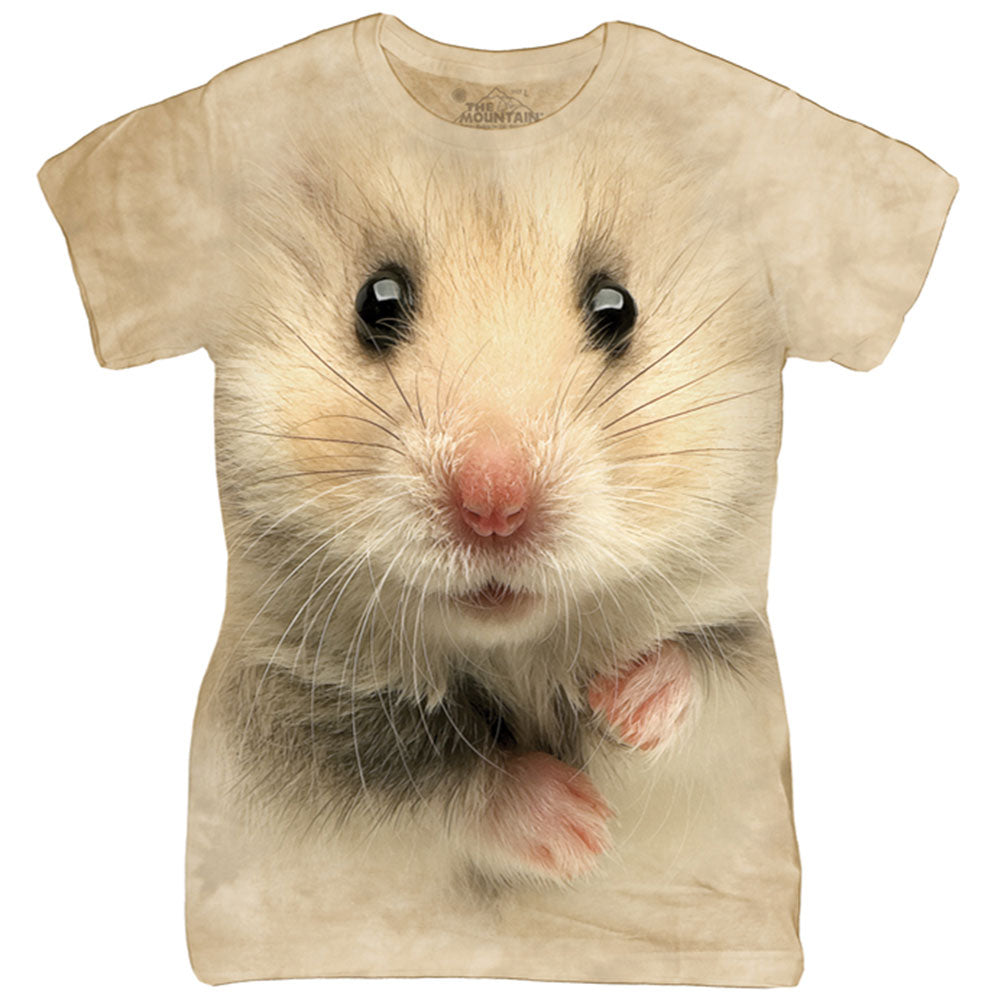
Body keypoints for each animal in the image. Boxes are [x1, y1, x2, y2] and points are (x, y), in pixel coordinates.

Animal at [200, 131, 784, 890]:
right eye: (376, 302)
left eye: (617, 306)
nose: (493, 508)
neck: (512, 650)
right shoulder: (284, 727)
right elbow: (432, 783)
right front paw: (579, 829)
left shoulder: (744, 700)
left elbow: (711, 674)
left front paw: (625, 708)